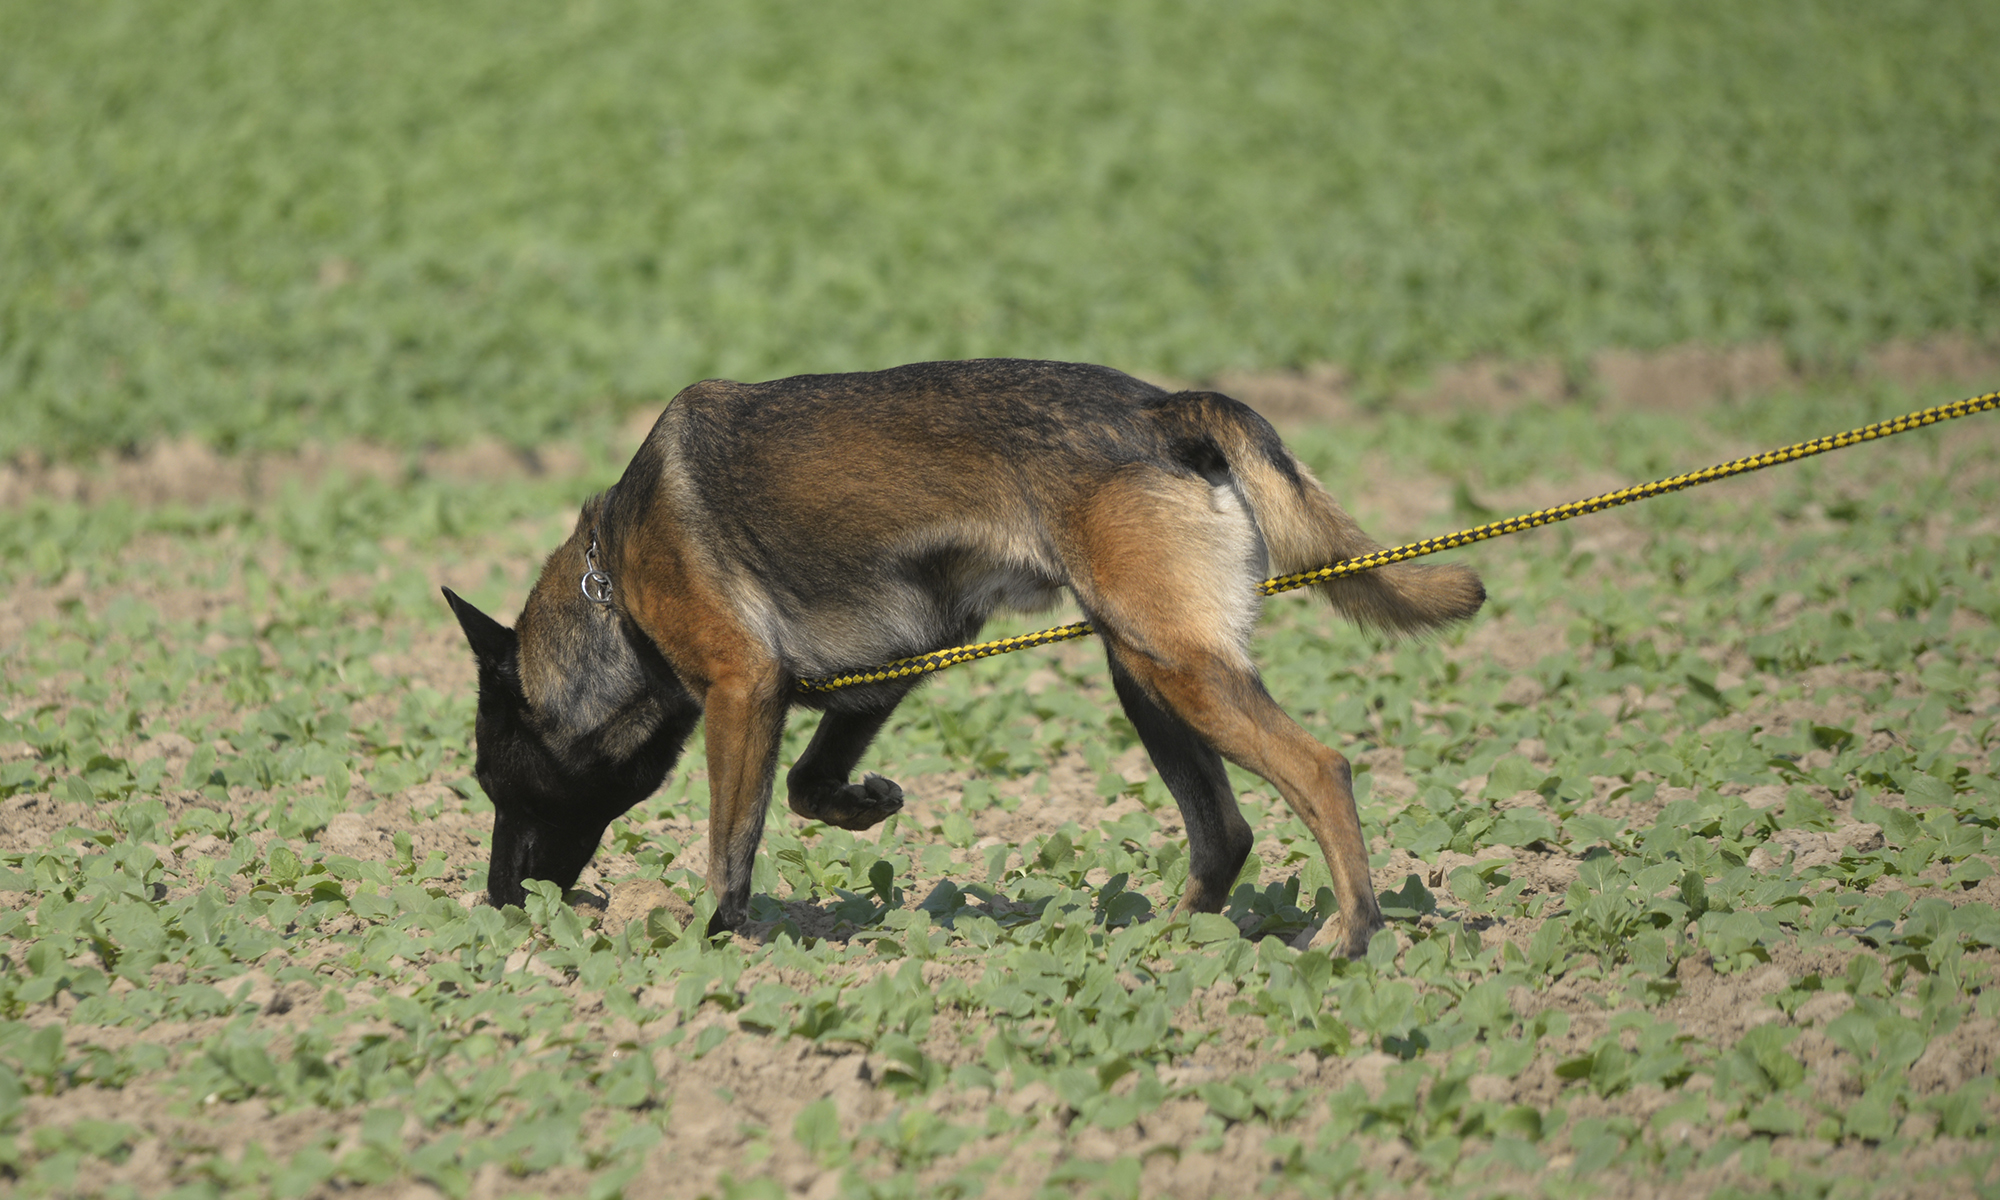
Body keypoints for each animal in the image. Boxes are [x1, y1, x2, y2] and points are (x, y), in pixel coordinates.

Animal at [450, 356, 1488, 956]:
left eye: (498, 785)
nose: (498, 903)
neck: (613, 584)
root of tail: (1163, 410)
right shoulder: (890, 664)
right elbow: (808, 787)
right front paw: (866, 807)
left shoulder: (743, 691)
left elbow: (730, 845)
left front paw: (715, 945)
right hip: (1142, 671)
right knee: (1224, 833)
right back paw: (1155, 955)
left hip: (1175, 668)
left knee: (1321, 769)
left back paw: (1349, 937)